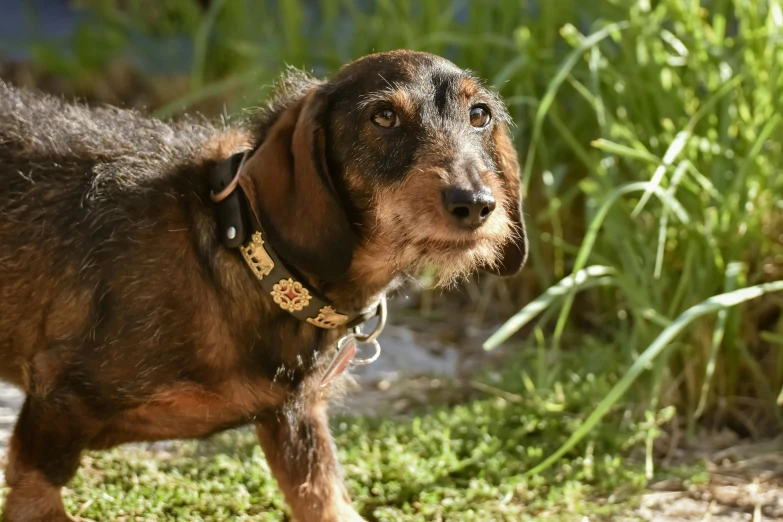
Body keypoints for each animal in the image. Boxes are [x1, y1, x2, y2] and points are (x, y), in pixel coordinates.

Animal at [0, 49, 528, 520]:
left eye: (479, 115)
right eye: (383, 117)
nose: (475, 203)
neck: (246, 257)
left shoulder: (295, 422)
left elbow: (324, 500)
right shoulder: (56, 410)